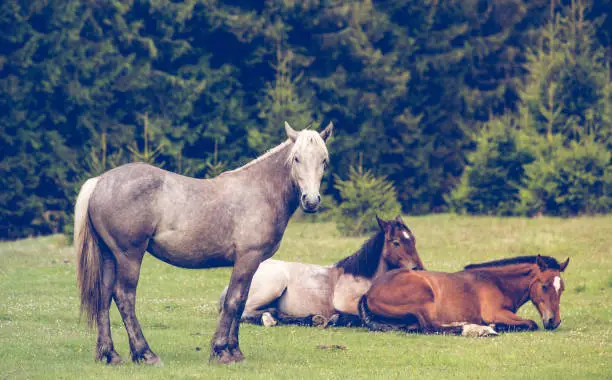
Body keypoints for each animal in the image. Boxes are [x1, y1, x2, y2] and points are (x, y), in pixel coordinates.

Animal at [76, 121, 334, 366]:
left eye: (324, 160)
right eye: (297, 158)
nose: (311, 201)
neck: (261, 191)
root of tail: (99, 181)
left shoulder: (251, 264)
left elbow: (241, 302)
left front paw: (235, 351)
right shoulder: (247, 258)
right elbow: (233, 302)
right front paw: (221, 352)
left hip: (109, 255)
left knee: (104, 296)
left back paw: (110, 354)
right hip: (129, 256)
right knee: (124, 297)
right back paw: (146, 354)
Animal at [221, 215, 426, 328]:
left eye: (413, 240)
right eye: (396, 242)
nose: (419, 269)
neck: (362, 278)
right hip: (272, 286)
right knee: (246, 312)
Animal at [358, 254, 568, 334]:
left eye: (562, 288)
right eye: (544, 286)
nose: (554, 321)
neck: (497, 282)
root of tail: (369, 293)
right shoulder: (494, 313)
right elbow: (530, 323)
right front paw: (493, 326)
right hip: (423, 296)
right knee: (429, 326)